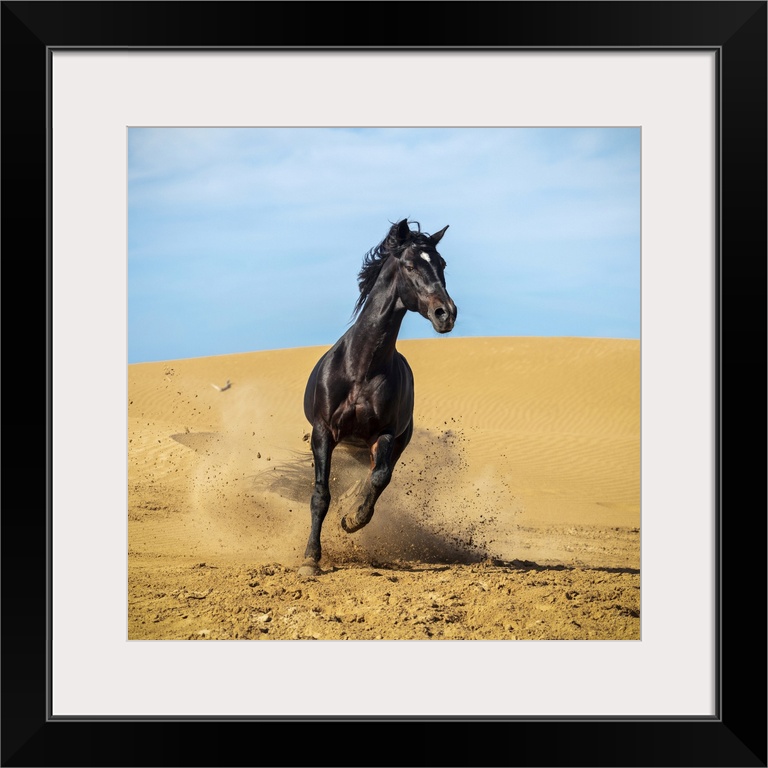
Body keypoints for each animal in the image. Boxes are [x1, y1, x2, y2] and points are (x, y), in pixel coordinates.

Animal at [298, 219, 456, 572]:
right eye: (410, 265)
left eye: (442, 264)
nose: (446, 314)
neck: (362, 368)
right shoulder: (323, 432)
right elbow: (320, 495)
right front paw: (311, 558)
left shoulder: (383, 434)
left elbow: (379, 479)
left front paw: (352, 520)